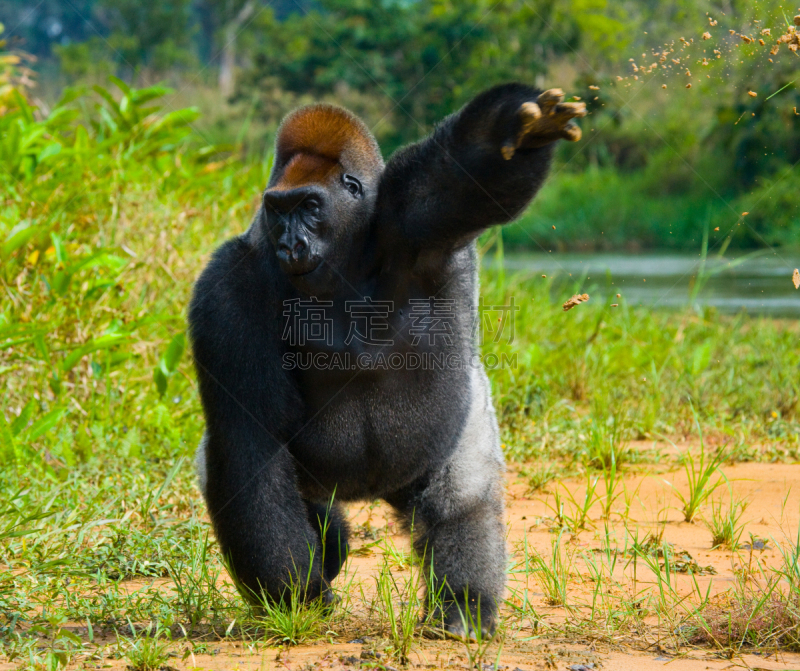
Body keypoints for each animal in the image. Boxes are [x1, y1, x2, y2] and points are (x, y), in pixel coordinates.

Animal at [190, 84, 584, 640]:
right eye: (278, 210)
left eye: (310, 206)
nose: (290, 242)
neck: (346, 258)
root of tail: (372, 492)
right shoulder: (225, 288)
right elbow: (249, 438)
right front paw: (297, 598)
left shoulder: (411, 220)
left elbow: (468, 175)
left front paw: (517, 130)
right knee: (301, 507)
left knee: (461, 499)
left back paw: (462, 608)